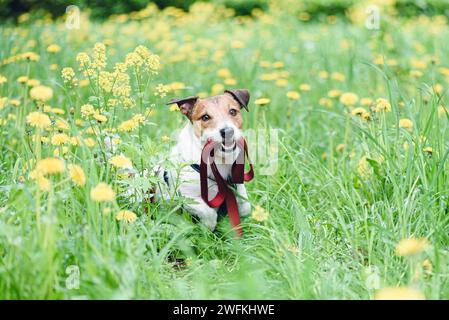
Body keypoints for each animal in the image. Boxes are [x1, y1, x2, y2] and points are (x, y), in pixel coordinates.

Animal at [156, 89, 250, 231]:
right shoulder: (186, 197)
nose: (228, 131)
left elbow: (245, 205)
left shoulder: (237, 186)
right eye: (205, 117)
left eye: (233, 111)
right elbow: (209, 212)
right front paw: (207, 228)